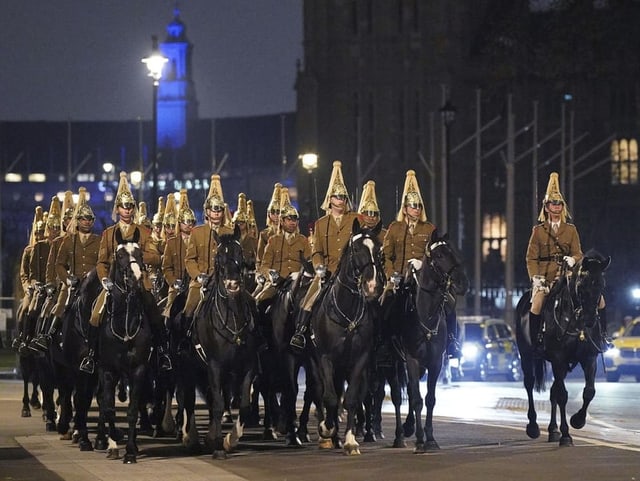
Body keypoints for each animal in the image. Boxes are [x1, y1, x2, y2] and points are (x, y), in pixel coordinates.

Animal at [191, 225, 262, 458]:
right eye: (218, 256)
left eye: (240, 253)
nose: (232, 285)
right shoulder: (214, 365)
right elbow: (218, 403)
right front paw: (213, 440)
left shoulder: (248, 365)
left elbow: (245, 404)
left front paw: (231, 439)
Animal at [310, 218, 384, 454]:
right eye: (356, 249)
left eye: (379, 250)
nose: (372, 286)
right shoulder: (325, 358)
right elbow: (330, 398)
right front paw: (327, 429)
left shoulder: (360, 359)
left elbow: (350, 398)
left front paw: (350, 441)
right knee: (320, 392)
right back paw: (327, 433)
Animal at [388, 231, 468, 452]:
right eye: (439, 255)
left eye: (455, 251)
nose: (463, 283)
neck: (425, 314)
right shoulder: (412, 360)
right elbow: (416, 400)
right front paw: (420, 440)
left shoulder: (435, 362)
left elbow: (430, 399)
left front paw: (430, 438)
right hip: (394, 362)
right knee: (398, 396)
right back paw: (400, 436)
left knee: (408, 390)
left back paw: (408, 427)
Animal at [516, 251, 608, 446]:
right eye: (581, 285)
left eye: (602, 284)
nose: (590, 319)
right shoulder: (558, 358)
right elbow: (563, 396)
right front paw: (566, 434)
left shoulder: (588, 358)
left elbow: (589, 391)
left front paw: (578, 421)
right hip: (526, 355)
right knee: (529, 383)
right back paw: (533, 426)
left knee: (553, 392)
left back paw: (553, 430)